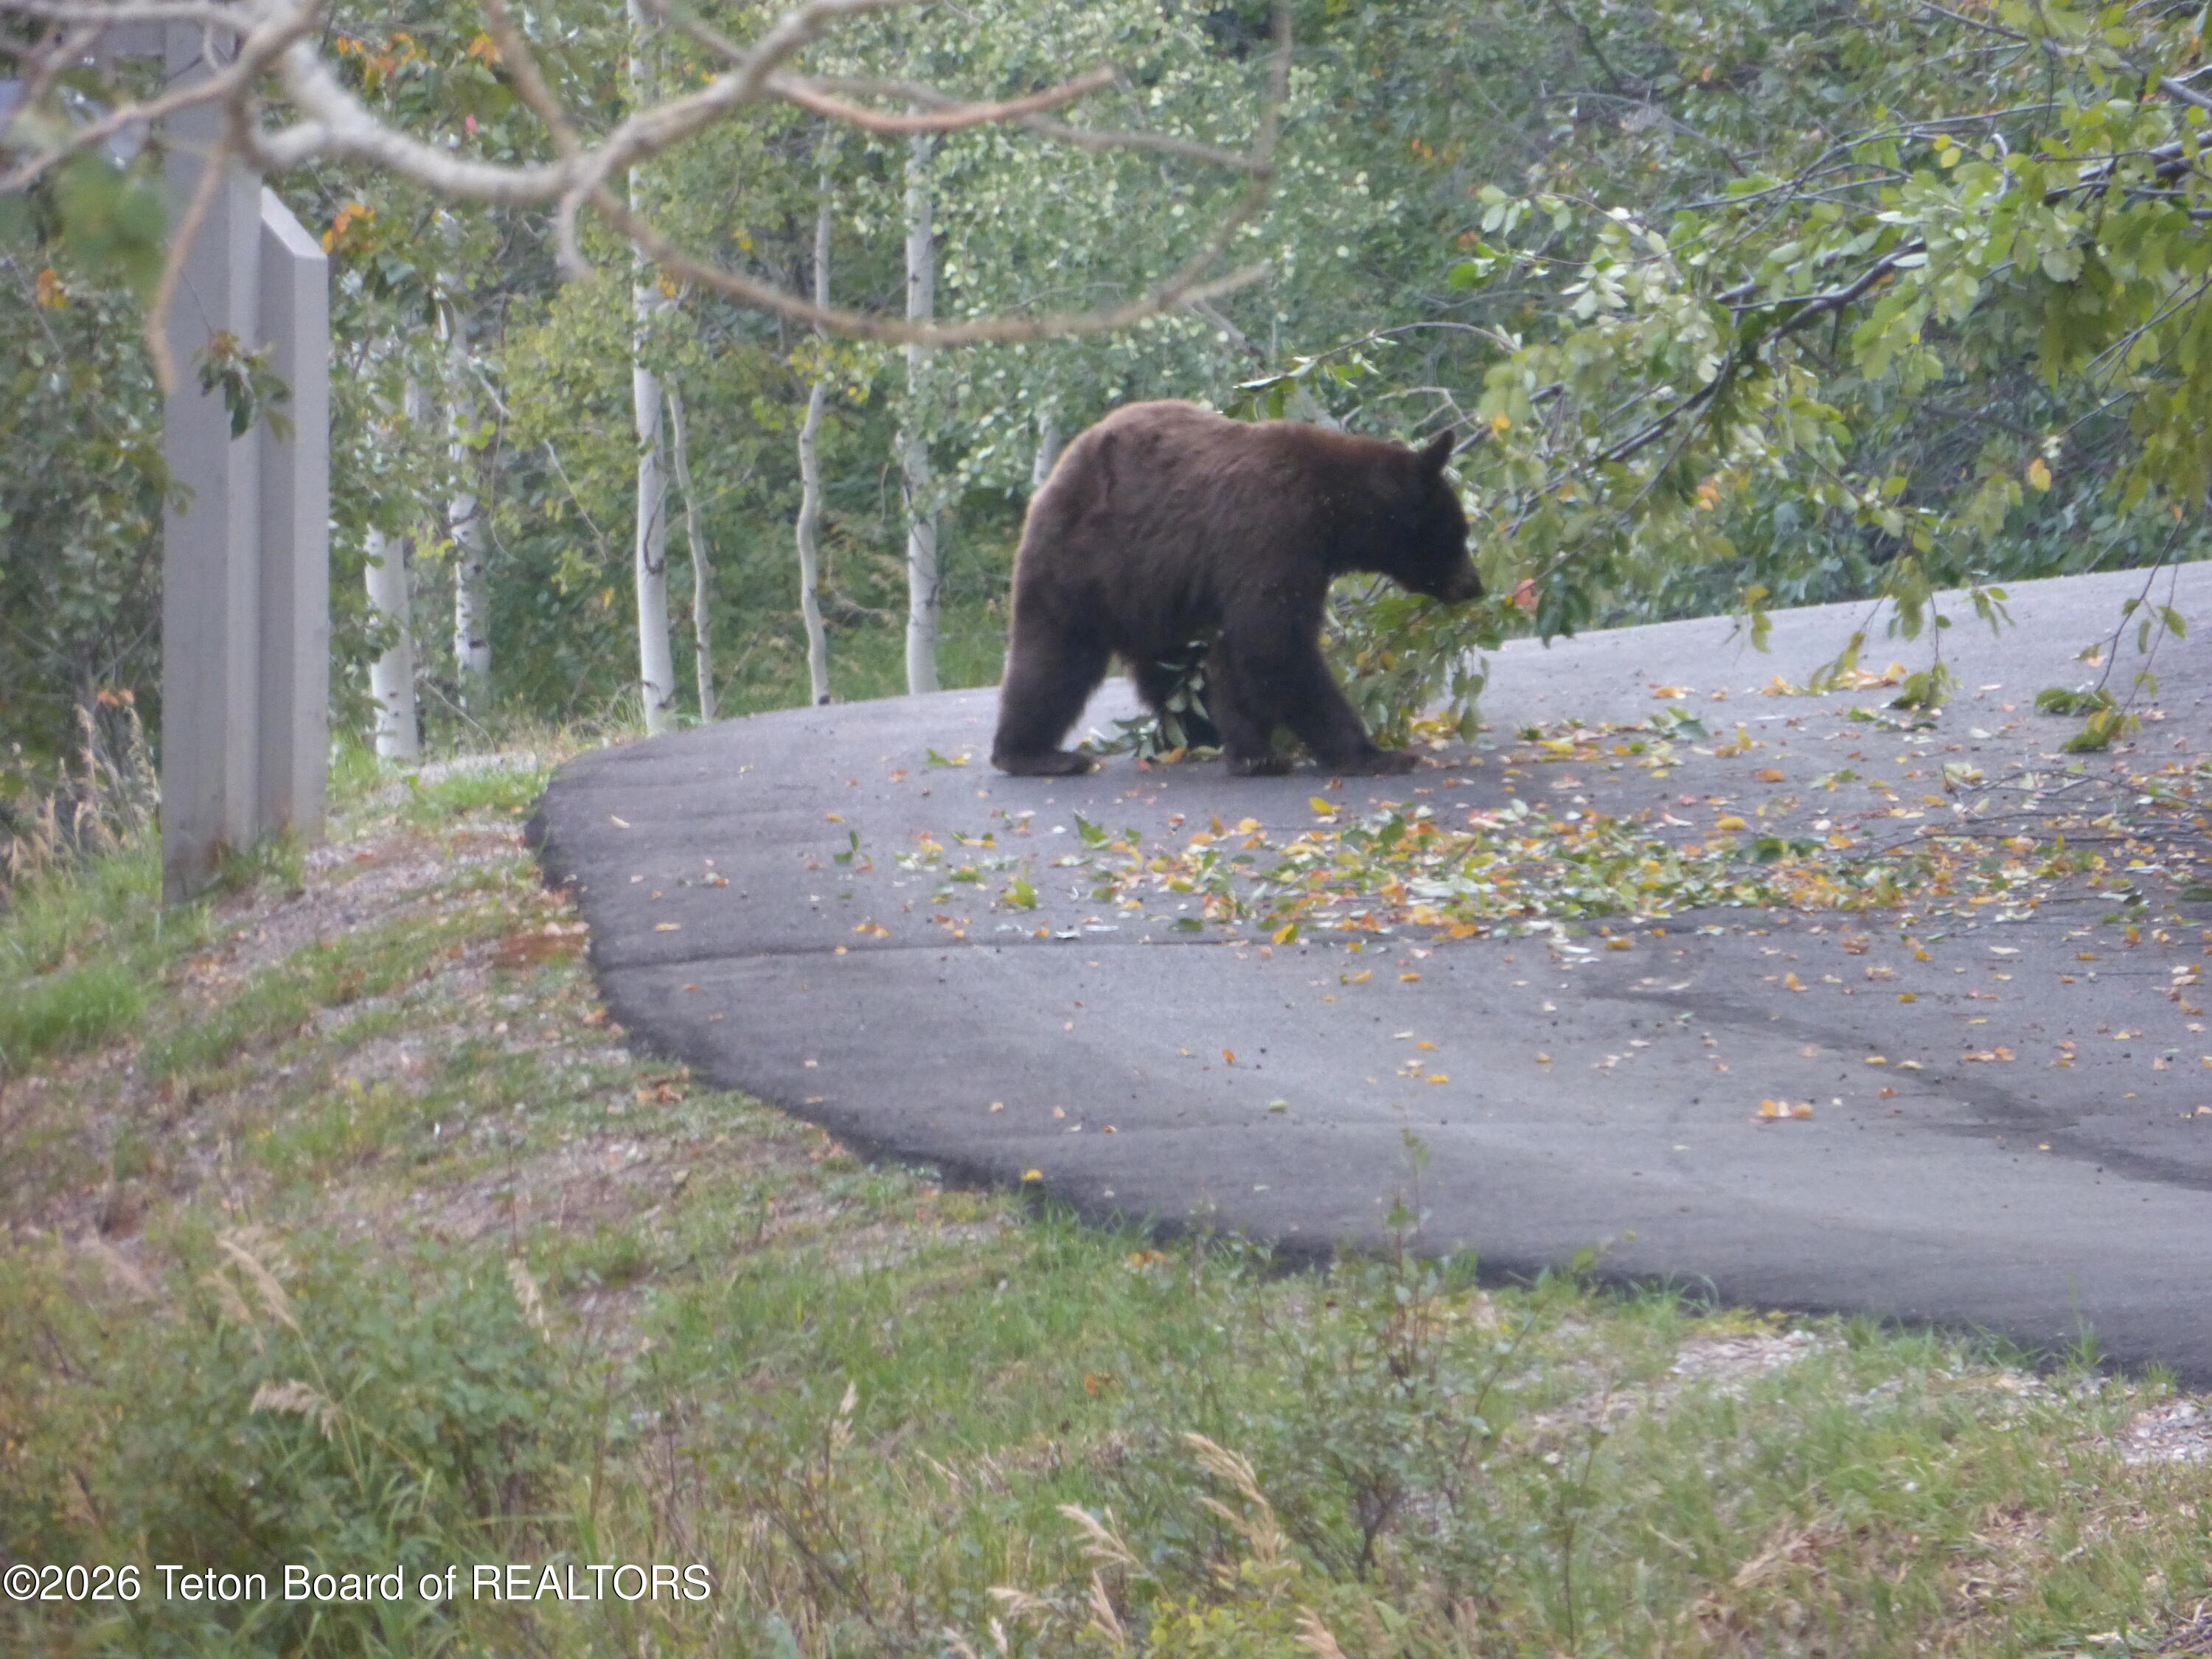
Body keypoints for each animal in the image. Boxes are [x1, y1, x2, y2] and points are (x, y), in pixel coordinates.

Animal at [990, 400, 1481, 777]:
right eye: (1459, 532)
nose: (1473, 585)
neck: (1335, 512)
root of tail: (1058, 471)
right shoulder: (1273, 529)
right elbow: (1274, 643)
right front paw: (1374, 754)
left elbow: (1239, 653)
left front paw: (1254, 753)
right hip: (1085, 560)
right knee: (1057, 656)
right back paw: (1036, 754)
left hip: (1150, 589)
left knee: (1170, 667)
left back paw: (1193, 733)